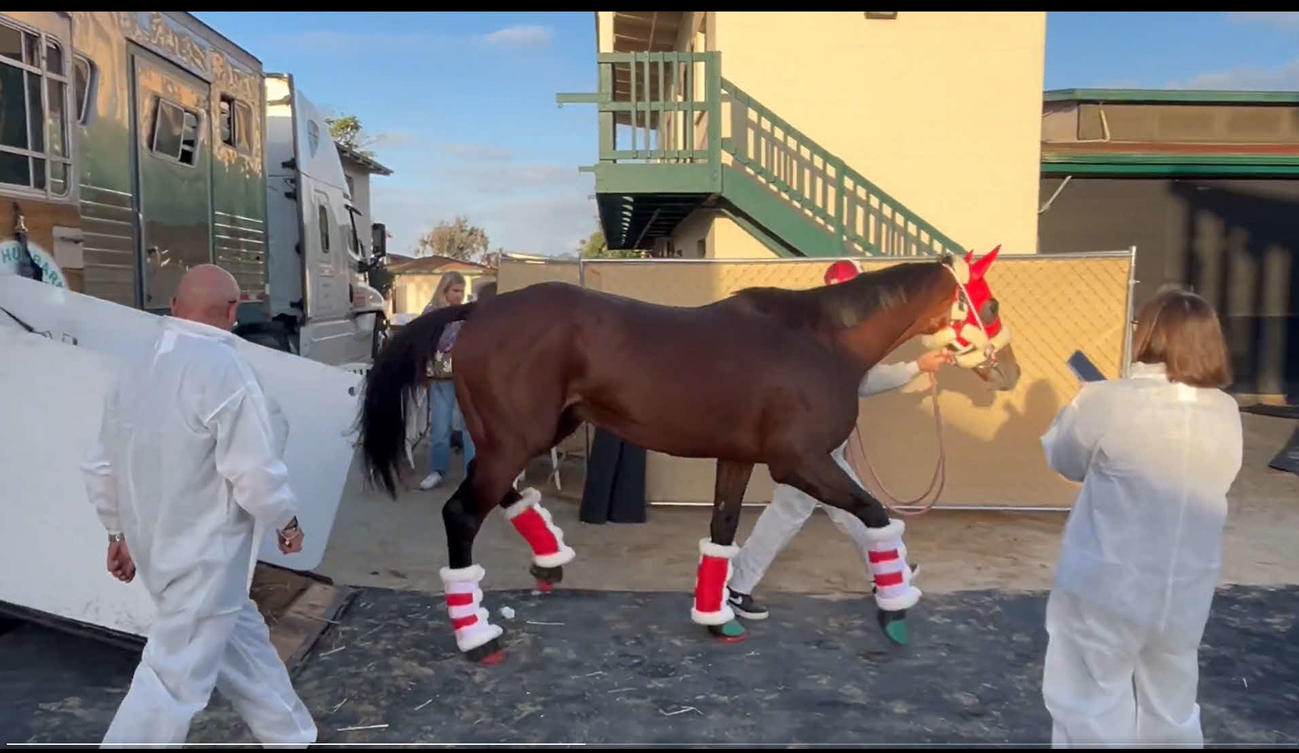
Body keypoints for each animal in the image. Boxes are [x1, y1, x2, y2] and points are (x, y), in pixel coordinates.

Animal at [358, 248, 1020, 663]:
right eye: (988, 306)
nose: (1009, 371)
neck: (820, 340)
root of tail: (476, 308)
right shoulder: (801, 463)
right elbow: (876, 515)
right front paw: (893, 609)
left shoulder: (740, 459)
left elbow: (722, 533)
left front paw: (717, 618)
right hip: (514, 438)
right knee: (462, 513)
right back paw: (477, 638)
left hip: (519, 435)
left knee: (502, 493)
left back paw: (549, 561)